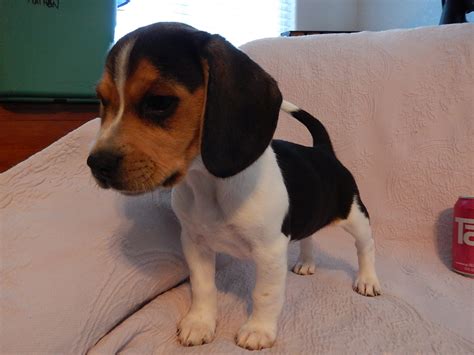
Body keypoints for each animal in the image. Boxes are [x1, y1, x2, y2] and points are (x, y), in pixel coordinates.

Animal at [88, 23, 382, 354]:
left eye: (159, 102)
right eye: (102, 100)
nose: (96, 163)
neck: (209, 185)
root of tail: (323, 150)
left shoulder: (269, 251)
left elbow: (264, 295)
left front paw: (258, 330)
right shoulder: (194, 243)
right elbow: (203, 287)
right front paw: (199, 323)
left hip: (354, 214)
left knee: (365, 245)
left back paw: (367, 280)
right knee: (308, 237)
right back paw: (306, 263)